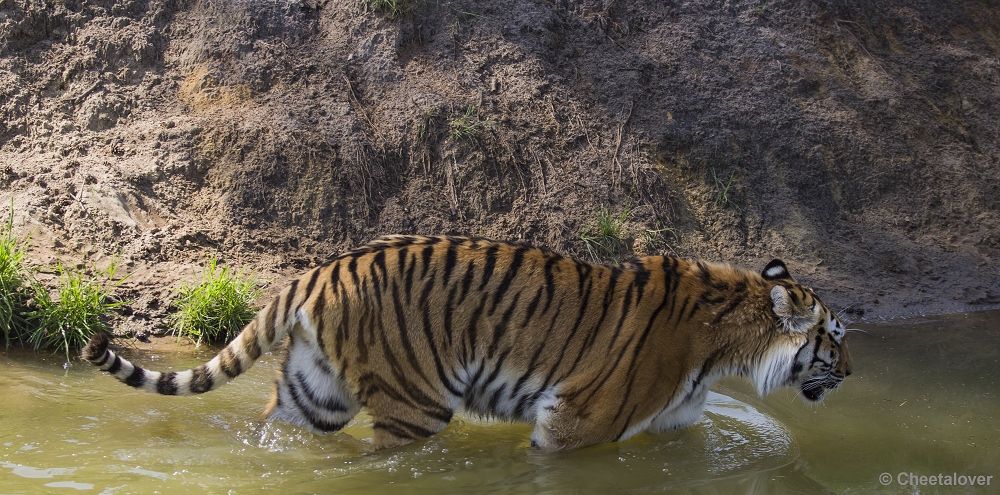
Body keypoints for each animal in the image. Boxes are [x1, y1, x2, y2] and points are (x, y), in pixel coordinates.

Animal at [82, 236, 856, 454]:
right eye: (835, 338)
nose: (851, 372)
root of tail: (319, 268)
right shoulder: (575, 422)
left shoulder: (677, 424)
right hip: (414, 401)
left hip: (315, 393)